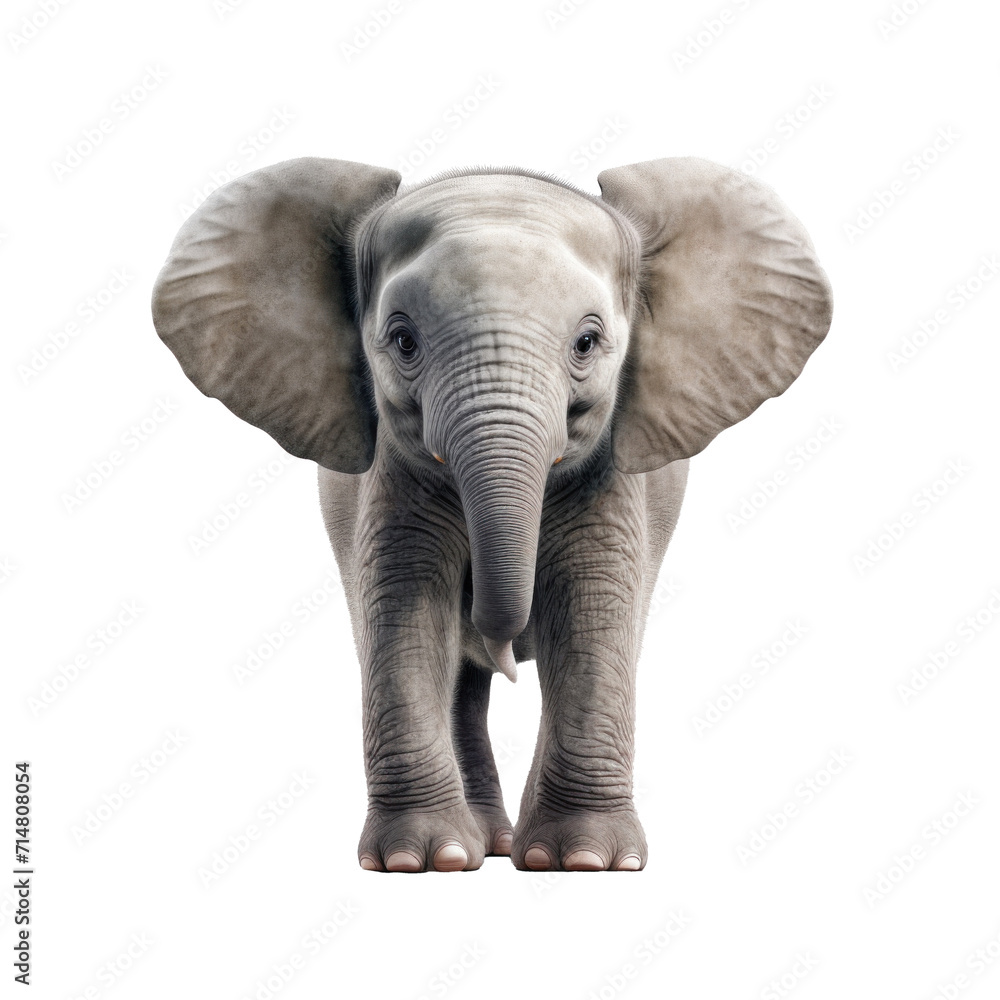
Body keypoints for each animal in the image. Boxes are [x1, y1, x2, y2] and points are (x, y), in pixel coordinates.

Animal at [152, 155, 832, 873]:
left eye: (588, 342)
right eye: (402, 341)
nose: (504, 639)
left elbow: (591, 609)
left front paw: (584, 862)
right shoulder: (389, 478)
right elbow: (407, 610)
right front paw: (421, 862)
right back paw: (480, 847)